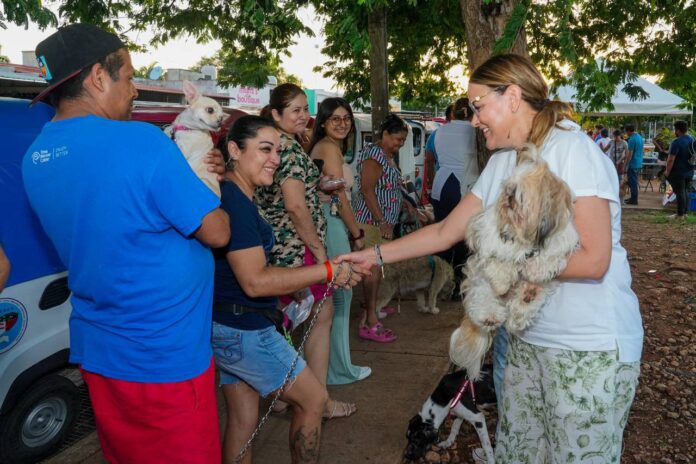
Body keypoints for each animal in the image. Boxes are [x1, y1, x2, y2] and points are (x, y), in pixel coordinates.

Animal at [448, 145, 580, 380]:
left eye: (519, 194)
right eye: (508, 189)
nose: (508, 197)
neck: (524, 235)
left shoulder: (560, 238)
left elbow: (548, 256)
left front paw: (537, 268)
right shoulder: (487, 236)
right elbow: (499, 259)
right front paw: (504, 276)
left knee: (521, 307)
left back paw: (527, 297)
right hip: (479, 283)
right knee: (483, 299)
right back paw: (491, 314)